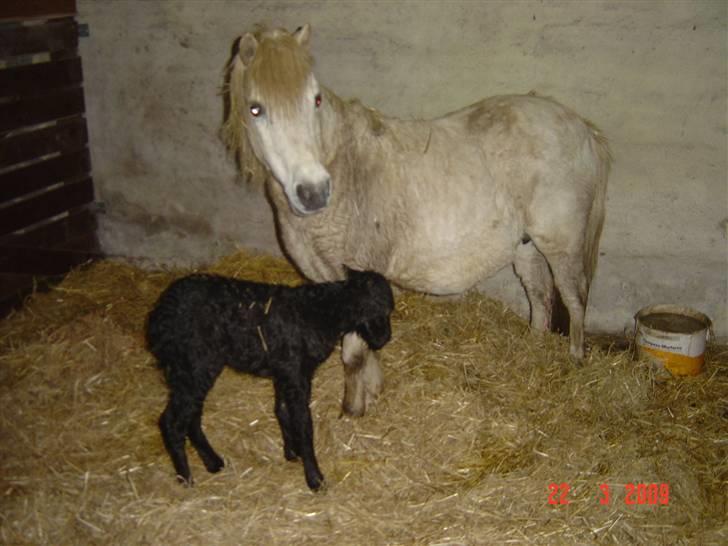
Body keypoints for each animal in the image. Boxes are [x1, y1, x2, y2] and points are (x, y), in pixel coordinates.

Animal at [222, 24, 608, 416]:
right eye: (255, 109)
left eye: (315, 100)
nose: (313, 191)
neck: (348, 169)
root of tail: (581, 126)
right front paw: (372, 391)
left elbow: (354, 355)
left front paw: (354, 409)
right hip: (526, 246)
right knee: (540, 298)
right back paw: (532, 349)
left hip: (562, 245)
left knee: (574, 299)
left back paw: (575, 359)